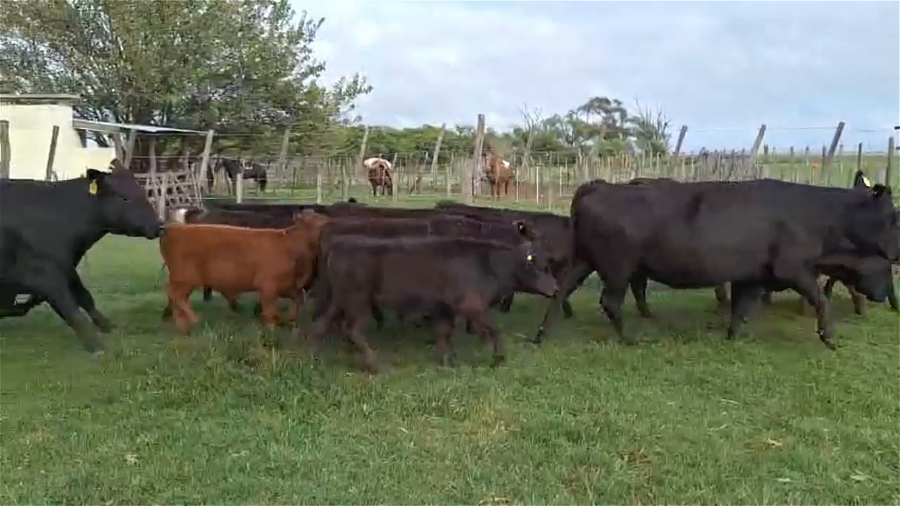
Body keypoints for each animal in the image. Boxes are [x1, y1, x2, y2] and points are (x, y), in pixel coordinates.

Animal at [0, 161, 164, 354]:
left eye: (143, 193)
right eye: (124, 198)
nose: (160, 226)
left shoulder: (67, 268)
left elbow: (85, 298)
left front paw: (110, 328)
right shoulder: (44, 274)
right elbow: (72, 310)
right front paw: (96, 346)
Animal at [159, 213, 329, 334]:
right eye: (317, 220)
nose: (330, 221)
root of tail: (173, 229)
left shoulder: (289, 285)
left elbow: (298, 300)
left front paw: (287, 319)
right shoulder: (268, 284)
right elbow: (269, 309)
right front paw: (271, 327)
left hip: (182, 279)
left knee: (176, 297)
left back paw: (182, 325)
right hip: (186, 277)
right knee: (175, 294)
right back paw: (193, 319)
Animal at [304, 235, 559, 373]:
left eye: (549, 264)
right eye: (540, 267)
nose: (555, 289)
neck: (489, 263)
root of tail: (340, 245)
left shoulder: (445, 309)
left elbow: (443, 333)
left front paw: (446, 362)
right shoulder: (472, 306)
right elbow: (494, 330)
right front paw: (498, 359)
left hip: (339, 301)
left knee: (321, 325)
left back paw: (316, 361)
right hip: (359, 302)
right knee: (352, 330)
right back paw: (375, 365)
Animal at [535, 178, 899, 349]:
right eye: (892, 217)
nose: (896, 254)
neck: (818, 214)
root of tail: (600, 186)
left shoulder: (753, 276)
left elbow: (742, 308)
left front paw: (733, 336)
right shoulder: (794, 268)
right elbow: (821, 300)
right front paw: (829, 337)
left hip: (586, 260)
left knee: (561, 290)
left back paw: (542, 334)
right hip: (617, 266)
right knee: (610, 301)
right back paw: (629, 339)